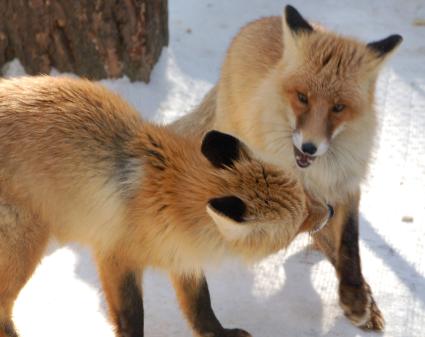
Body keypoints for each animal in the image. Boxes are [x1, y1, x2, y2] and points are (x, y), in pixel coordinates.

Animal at [0, 76, 332, 336]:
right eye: (300, 220)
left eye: (305, 193)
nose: (329, 210)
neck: (168, 196)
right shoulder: (116, 256)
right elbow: (133, 317)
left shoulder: (182, 255)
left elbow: (200, 306)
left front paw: (219, 333)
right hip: (24, 249)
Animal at [171, 3, 400, 330]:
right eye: (302, 97)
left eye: (338, 107)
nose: (309, 147)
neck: (312, 172)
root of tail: (260, 21)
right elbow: (327, 234)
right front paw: (359, 301)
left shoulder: (345, 183)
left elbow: (349, 245)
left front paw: (356, 295)